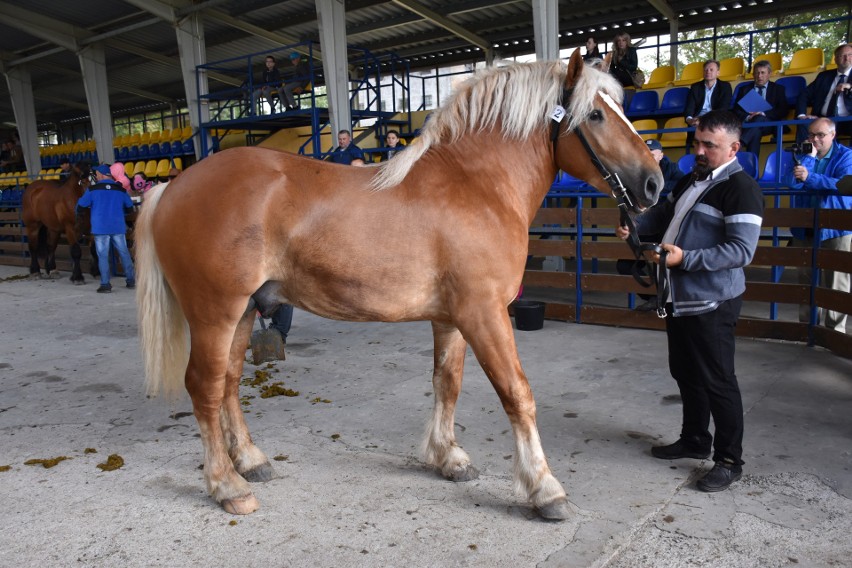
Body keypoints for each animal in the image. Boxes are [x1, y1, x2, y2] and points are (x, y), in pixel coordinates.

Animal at [135, 51, 664, 520]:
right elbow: (517, 393)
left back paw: (250, 460)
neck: (476, 184)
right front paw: (545, 488)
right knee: (204, 387)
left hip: (245, 310)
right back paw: (228, 486)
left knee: (227, 383)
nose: (655, 184)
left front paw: (448, 458)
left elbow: (447, 382)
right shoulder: (484, 313)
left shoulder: (453, 318)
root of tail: (173, 186)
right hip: (215, 313)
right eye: (595, 114)